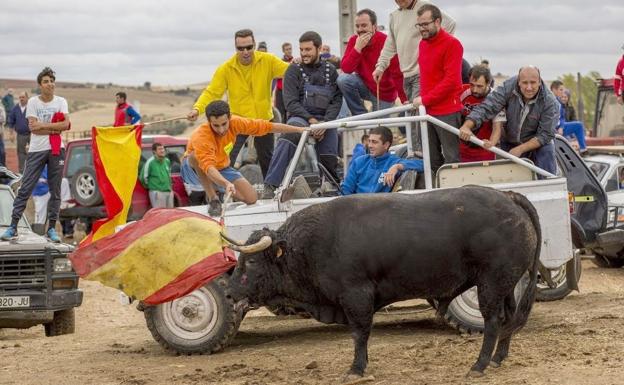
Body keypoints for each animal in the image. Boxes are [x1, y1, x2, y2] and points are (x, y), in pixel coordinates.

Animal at [225, 184, 540, 376]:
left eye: (250, 261)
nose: (228, 293)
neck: (313, 243)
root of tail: (508, 196)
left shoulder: (356, 296)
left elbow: (360, 333)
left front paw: (356, 368)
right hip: (505, 286)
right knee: (509, 318)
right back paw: (499, 358)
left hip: (491, 284)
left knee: (493, 322)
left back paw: (480, 363)